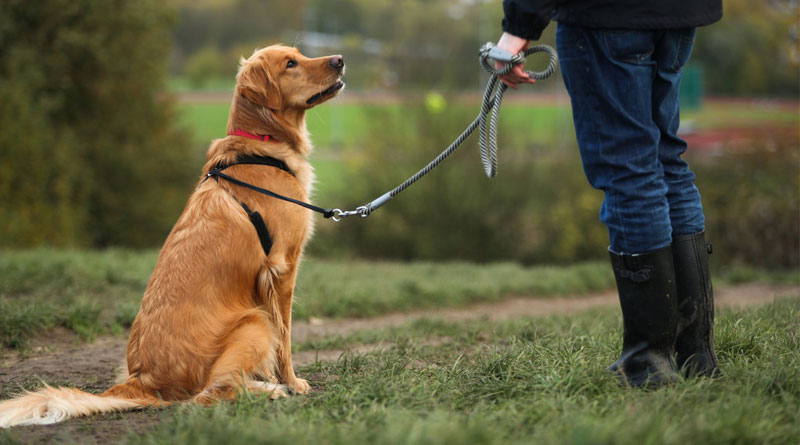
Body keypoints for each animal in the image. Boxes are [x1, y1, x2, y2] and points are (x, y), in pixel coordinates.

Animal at [0, 46, 344, 426]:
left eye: (299, 54)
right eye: (290, 64)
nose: (340, 60)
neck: (260, 145)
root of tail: (142, 380)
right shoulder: (282, 269)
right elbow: (285, 338)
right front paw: (292, 382)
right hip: (254, 321)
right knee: (210, 395)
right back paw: (269, 391)